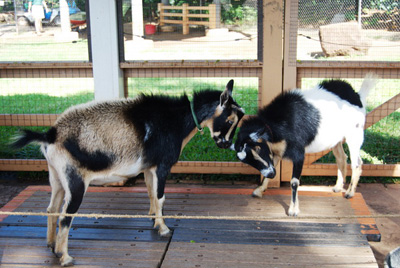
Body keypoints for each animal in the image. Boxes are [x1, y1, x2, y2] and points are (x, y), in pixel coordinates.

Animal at [11, 80, 244, 266]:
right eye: (230, 120)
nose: (226, 144)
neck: (176, 121)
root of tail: (50, 135)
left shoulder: (149, 168)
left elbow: (151, 193)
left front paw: (154, 220)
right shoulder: (163, 165)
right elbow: (160, 197)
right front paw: (164, 229)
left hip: (56, 176)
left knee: (51, 209)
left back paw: (51, 244)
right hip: (75, 180)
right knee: (65, 216)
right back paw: (64, 256)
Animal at [233, 74, 376, 217]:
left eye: (258, 148)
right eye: (246, 160)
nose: (272, 174)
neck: (279, 123)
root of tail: (356, 95)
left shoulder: (299, 153)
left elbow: (294, 182)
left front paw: (293, 210)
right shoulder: (276, 151)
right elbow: (272, 167)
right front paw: (259, 190)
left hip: (355, 134)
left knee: (356, 162)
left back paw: (350, 193)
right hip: (336, 140)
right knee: (341, 158)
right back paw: (338, 187)